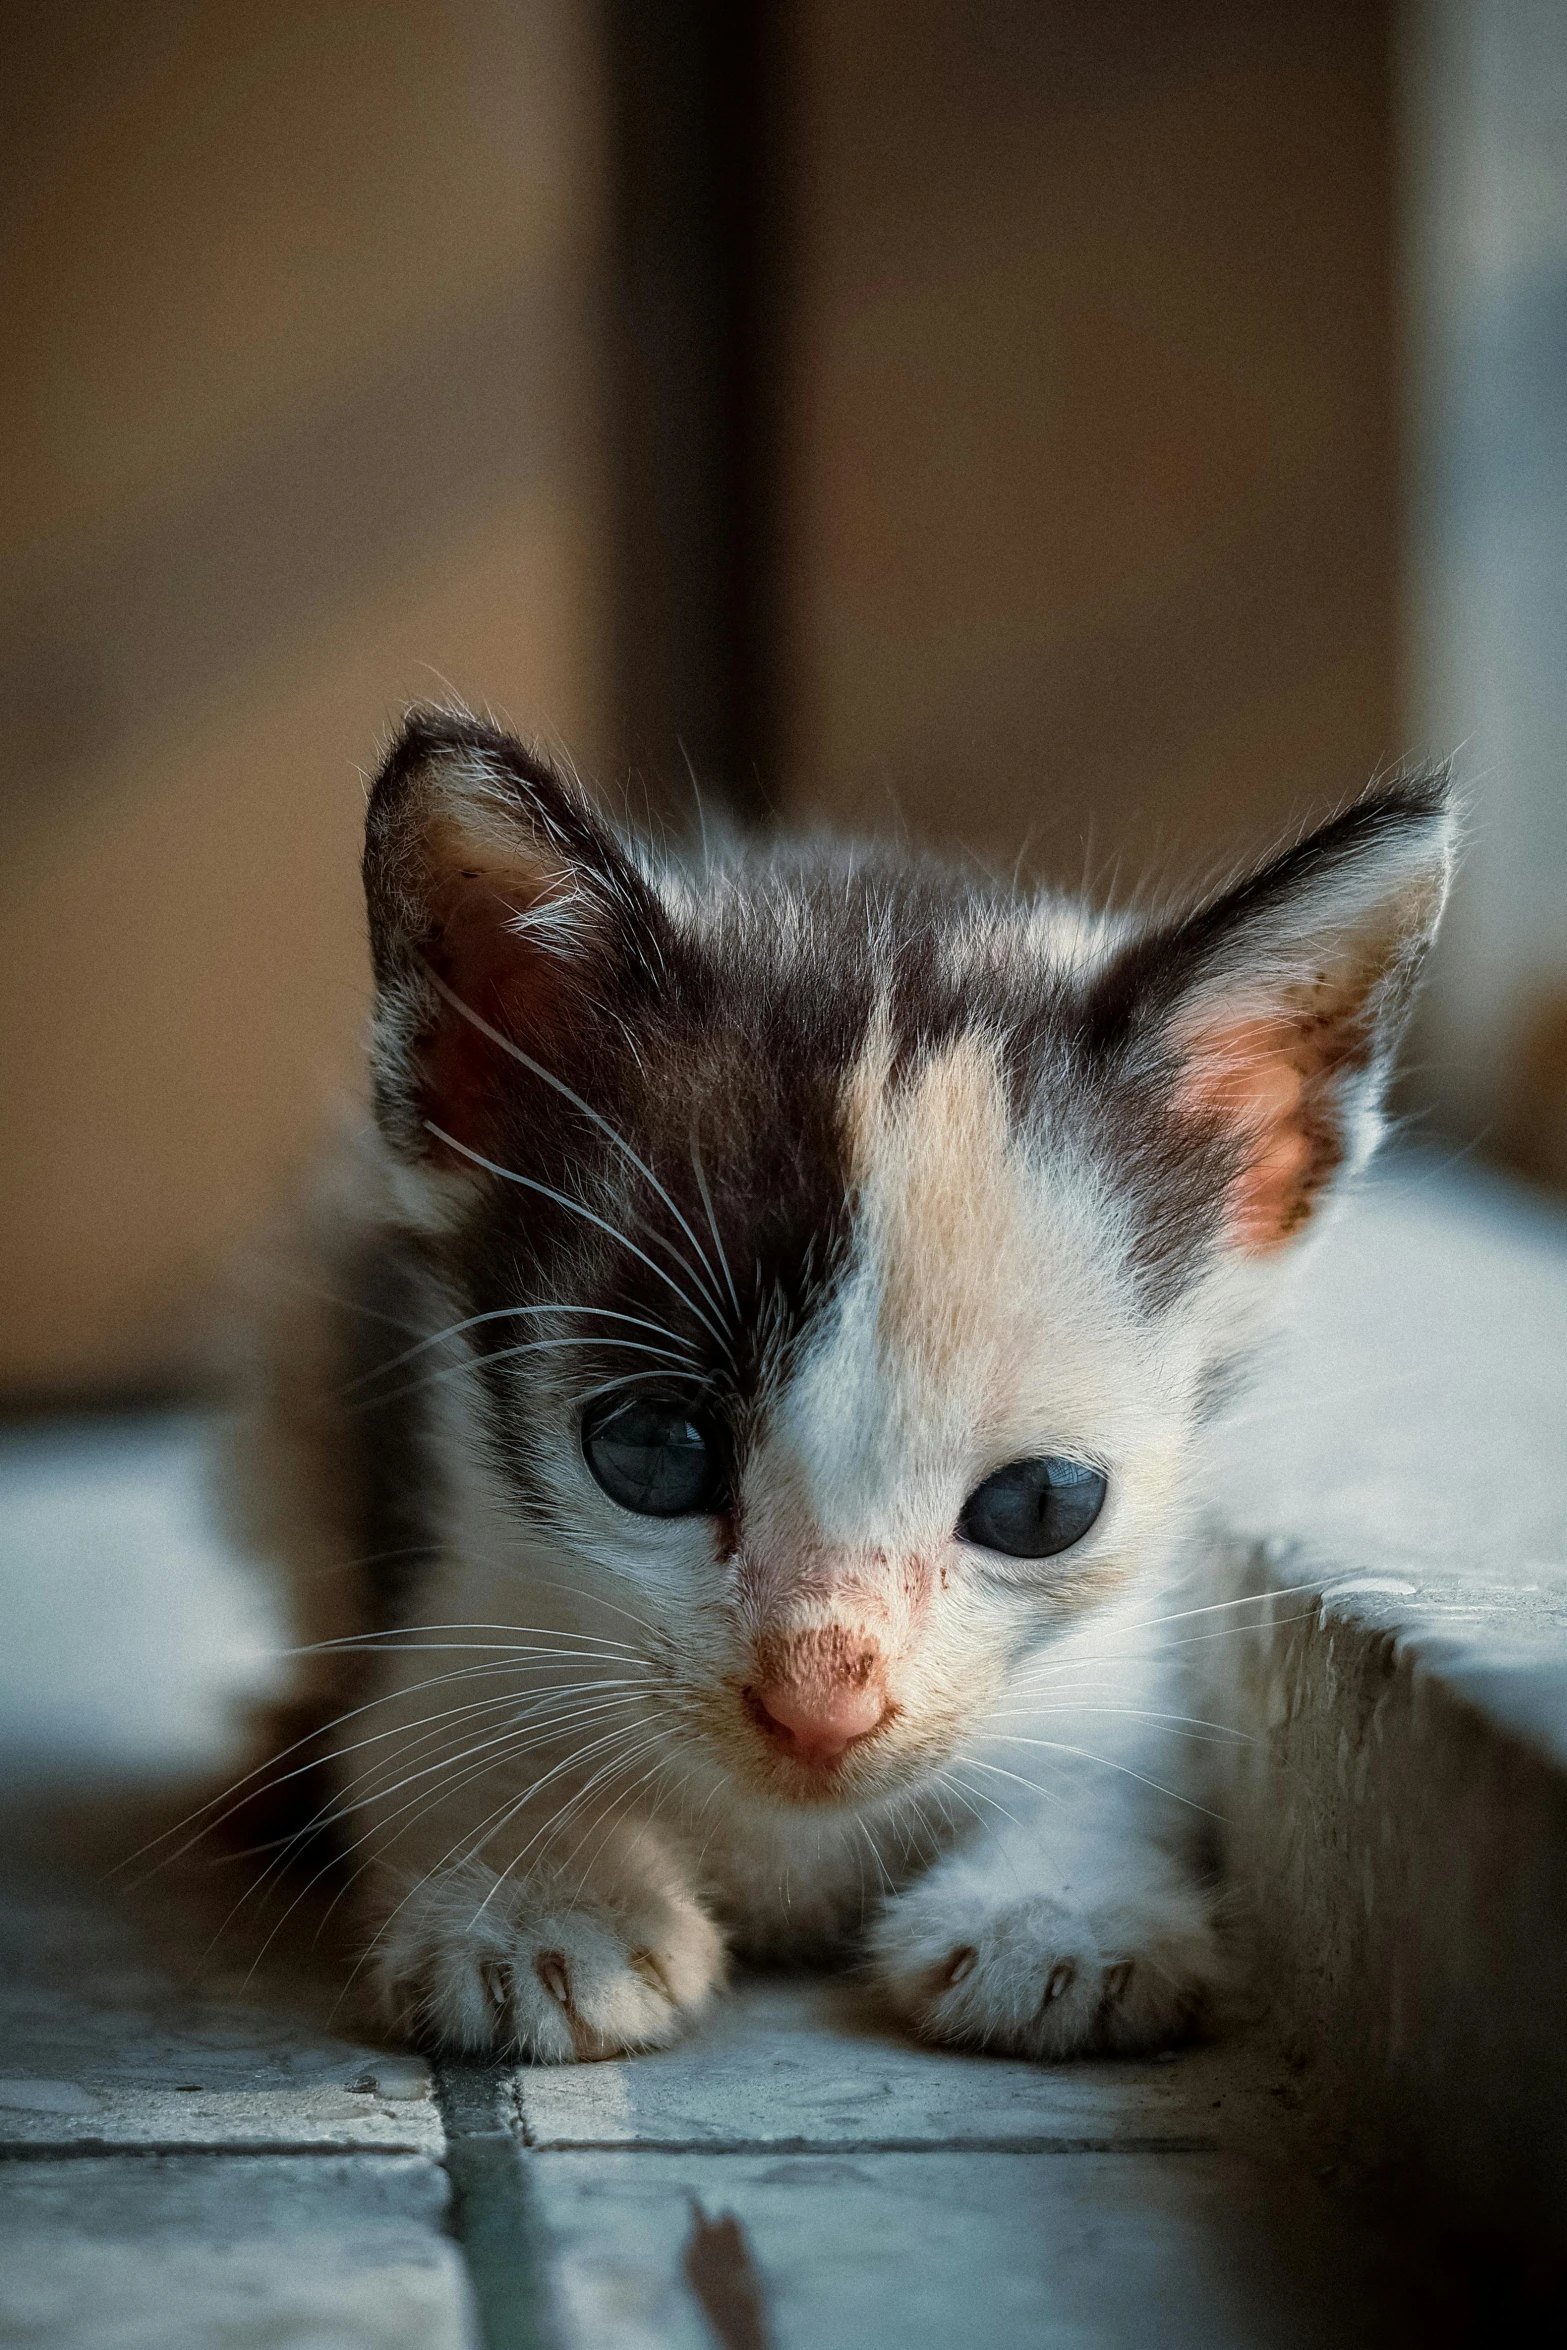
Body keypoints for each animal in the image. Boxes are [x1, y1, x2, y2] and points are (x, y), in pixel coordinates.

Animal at [226, 709, 1456, 2058]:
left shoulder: (1116, 1657)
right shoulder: (459, 1576)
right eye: (652, 1450)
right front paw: (540, 1904)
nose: (819, 1705)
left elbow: (1113, 1754)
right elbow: (429, 1743)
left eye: (1041, 1505)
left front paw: (1057, 1911)